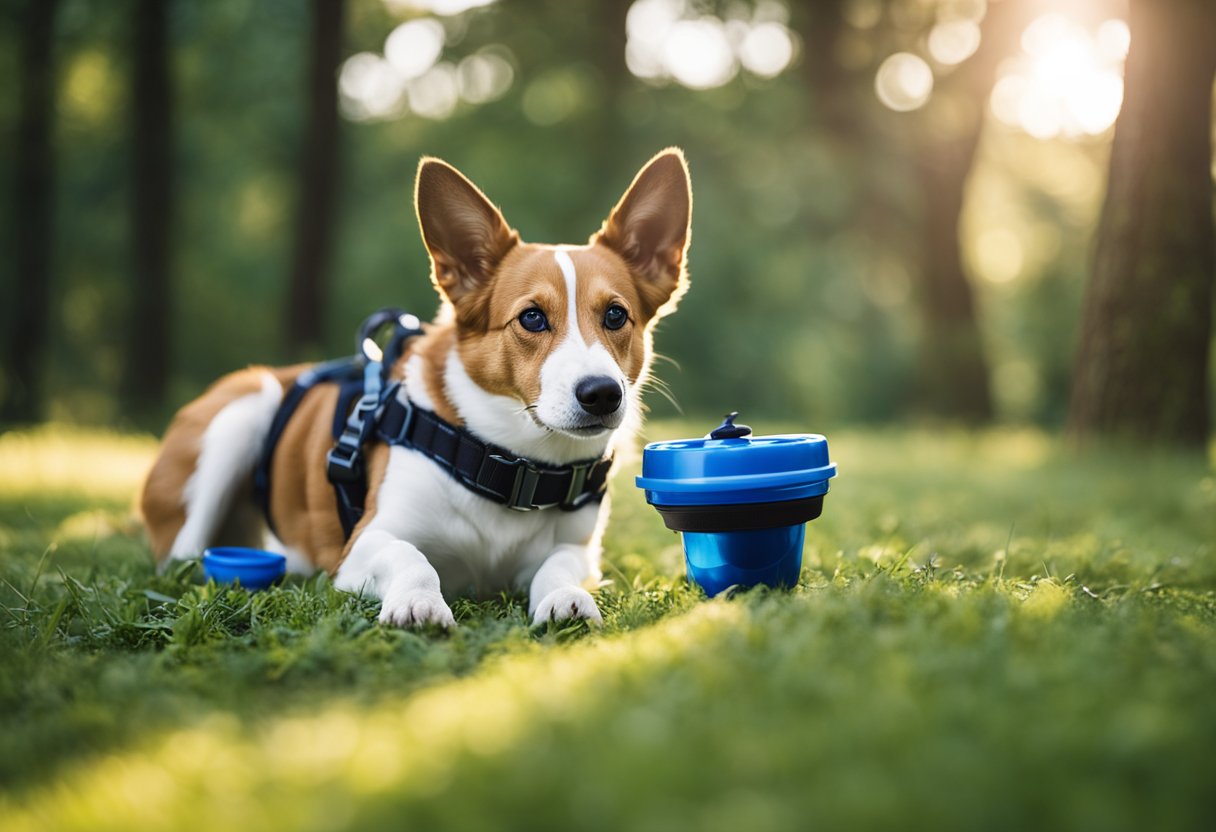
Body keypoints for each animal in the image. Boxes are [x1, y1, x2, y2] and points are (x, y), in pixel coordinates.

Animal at [139, 150, 695, 632]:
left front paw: (564, 597)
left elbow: (555, 565)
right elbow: (412, 557)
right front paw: (418, 602)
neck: (509, 463)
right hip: (244, 412)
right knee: (182, 559)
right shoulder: (363, 544)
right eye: (532, 318)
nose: (601, 394)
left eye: (616, 315)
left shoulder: (582, 551)